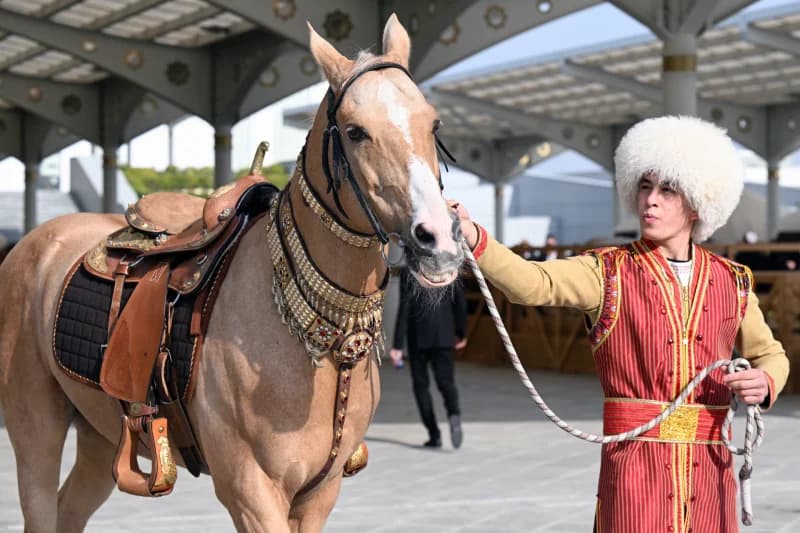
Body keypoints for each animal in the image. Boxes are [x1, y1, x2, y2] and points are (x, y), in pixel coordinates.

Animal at [0, 14, 463, 532]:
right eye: (355, 130)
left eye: (434, 123)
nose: (438, 239)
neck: (320, 350)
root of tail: (34, 243)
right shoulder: (250, 488)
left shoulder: (320, 491)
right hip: (34, 421)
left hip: (100, 430)